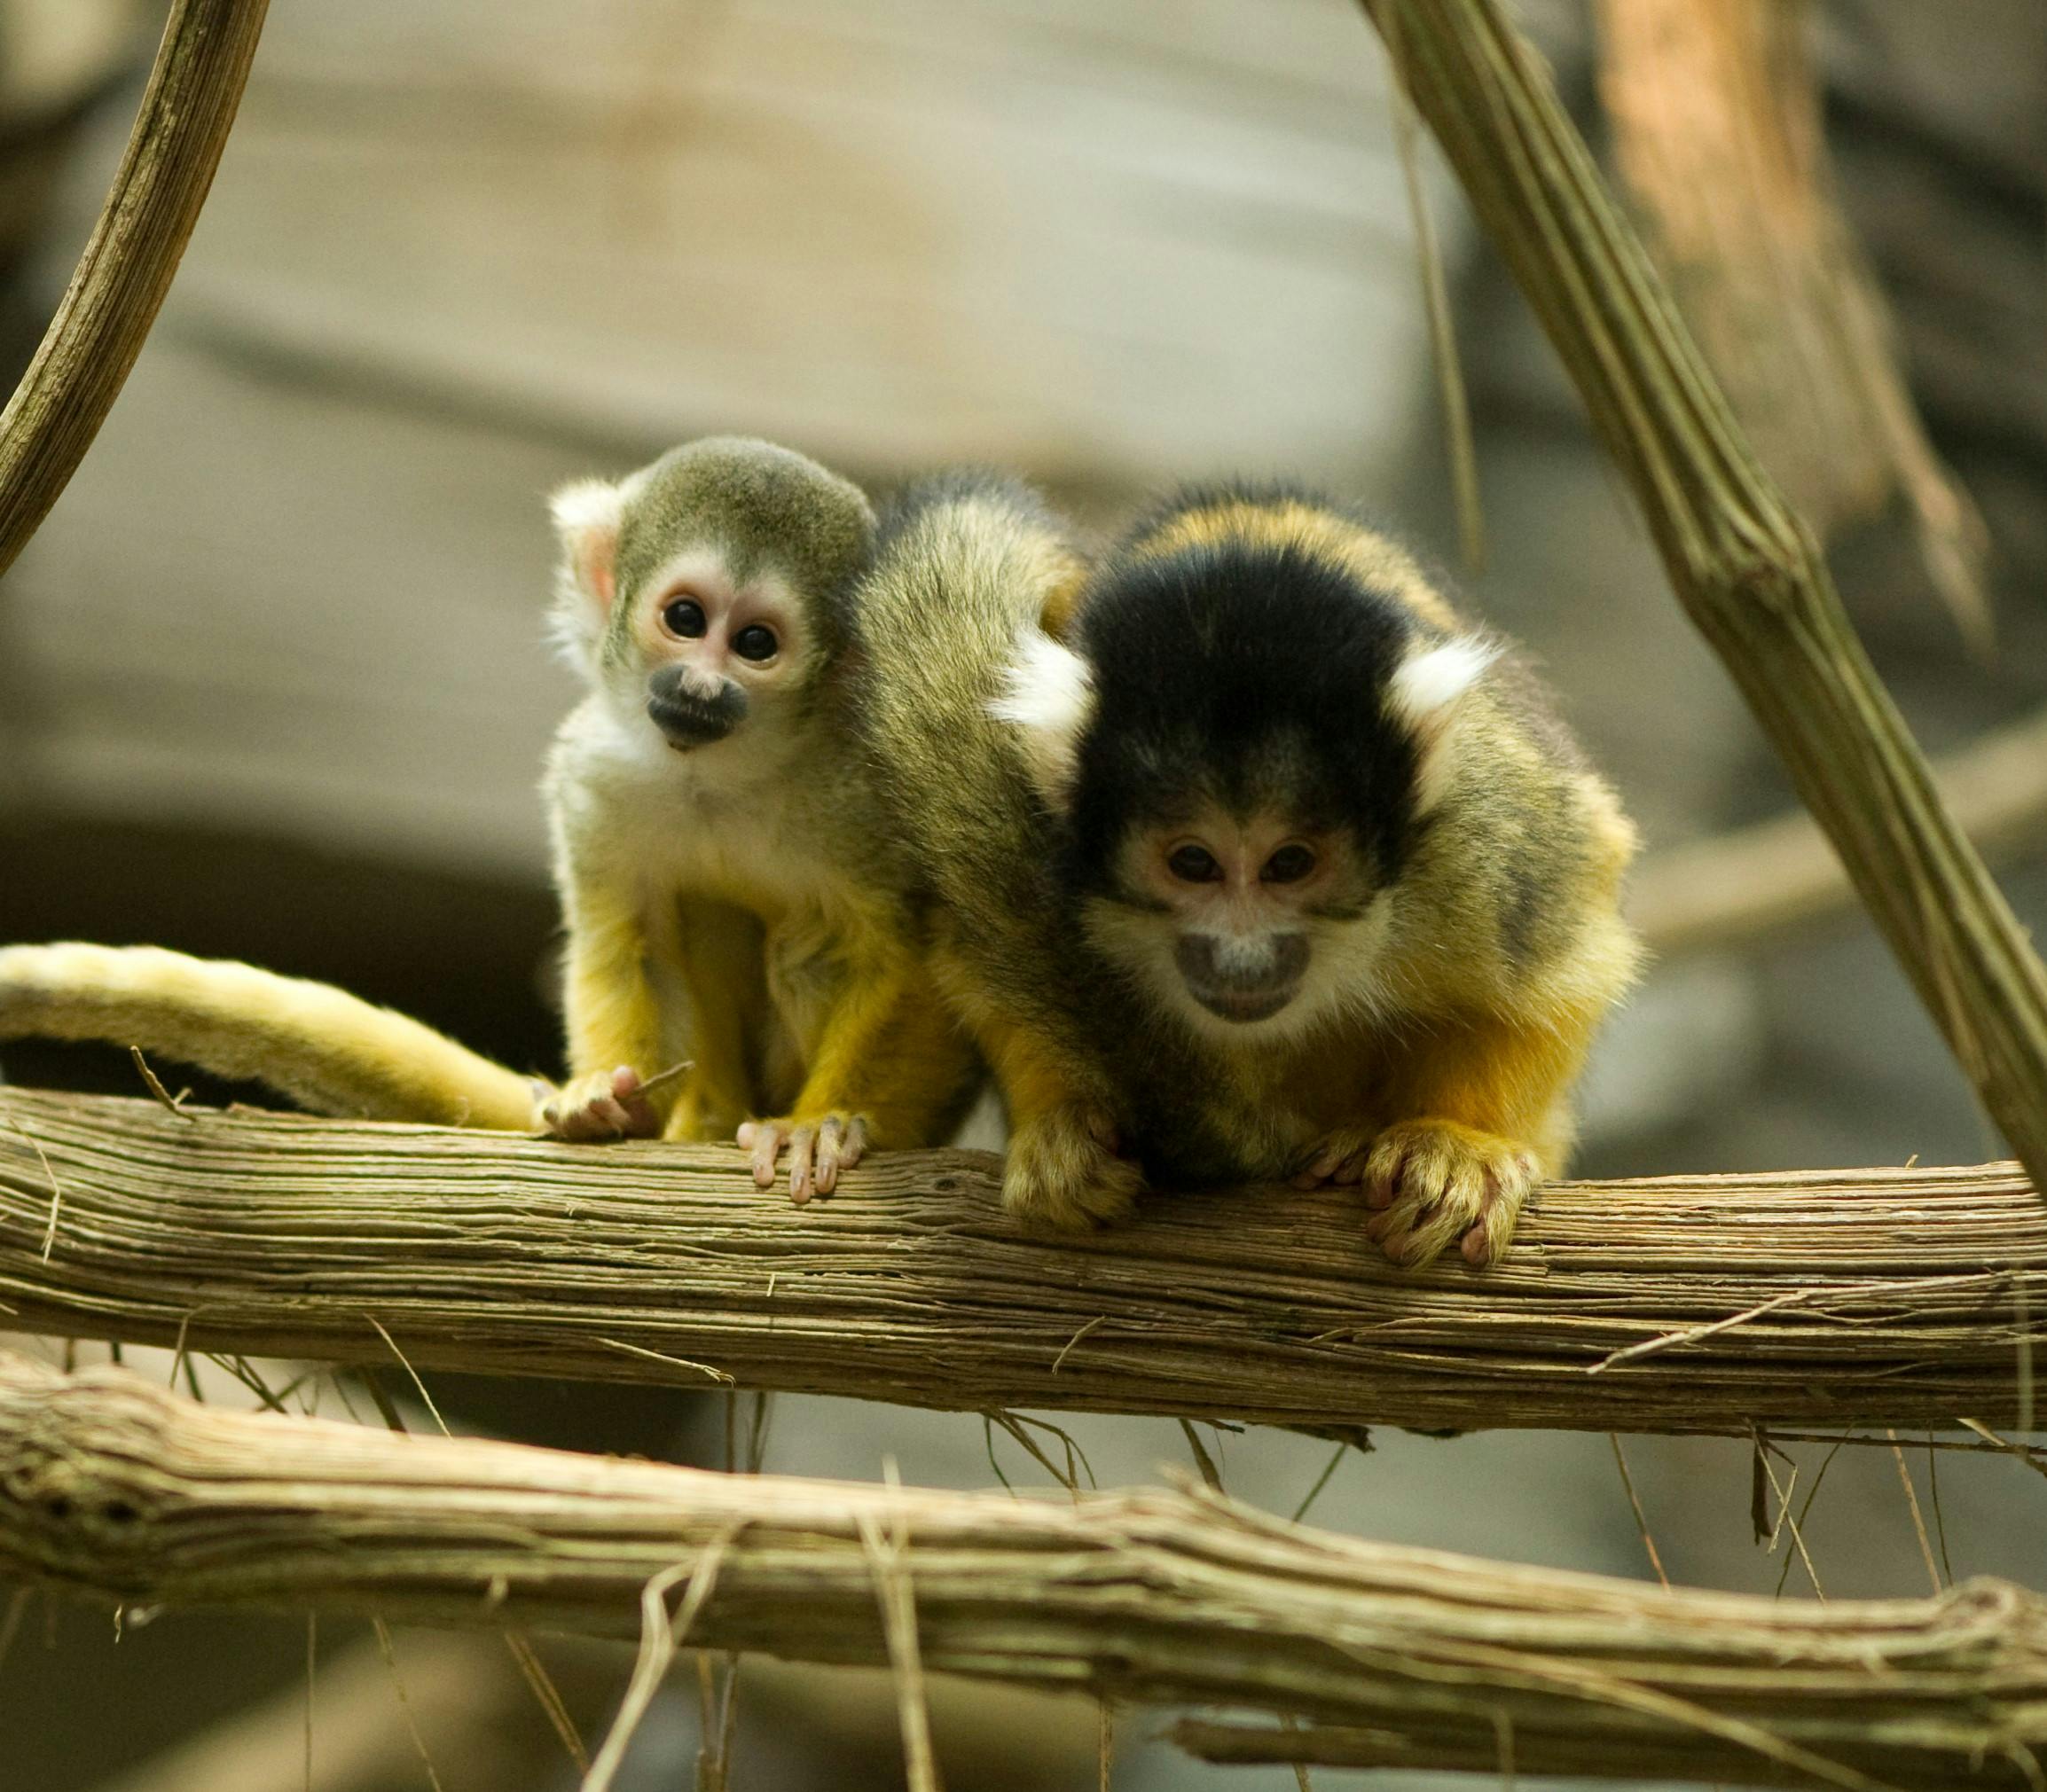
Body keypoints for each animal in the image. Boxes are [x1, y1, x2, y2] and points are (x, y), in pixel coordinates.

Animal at [0, 435, 982, 1194]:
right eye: (685, 617)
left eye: (754, 643)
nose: (701, 688)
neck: (726, 770)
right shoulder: (595, 774)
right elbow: (624, 938)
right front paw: (608, 1102)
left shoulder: (868, 783)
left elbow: (908, 954)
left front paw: (825, 1124)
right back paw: (704, 1116)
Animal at [855, 468, 1637, 1268]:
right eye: (1193, 862)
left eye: (1290, 863)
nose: (1243, 958)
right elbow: (980, 963)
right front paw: (1065, 1126)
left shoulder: (1480, 839)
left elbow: (1569, 943)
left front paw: (1459, 1140)